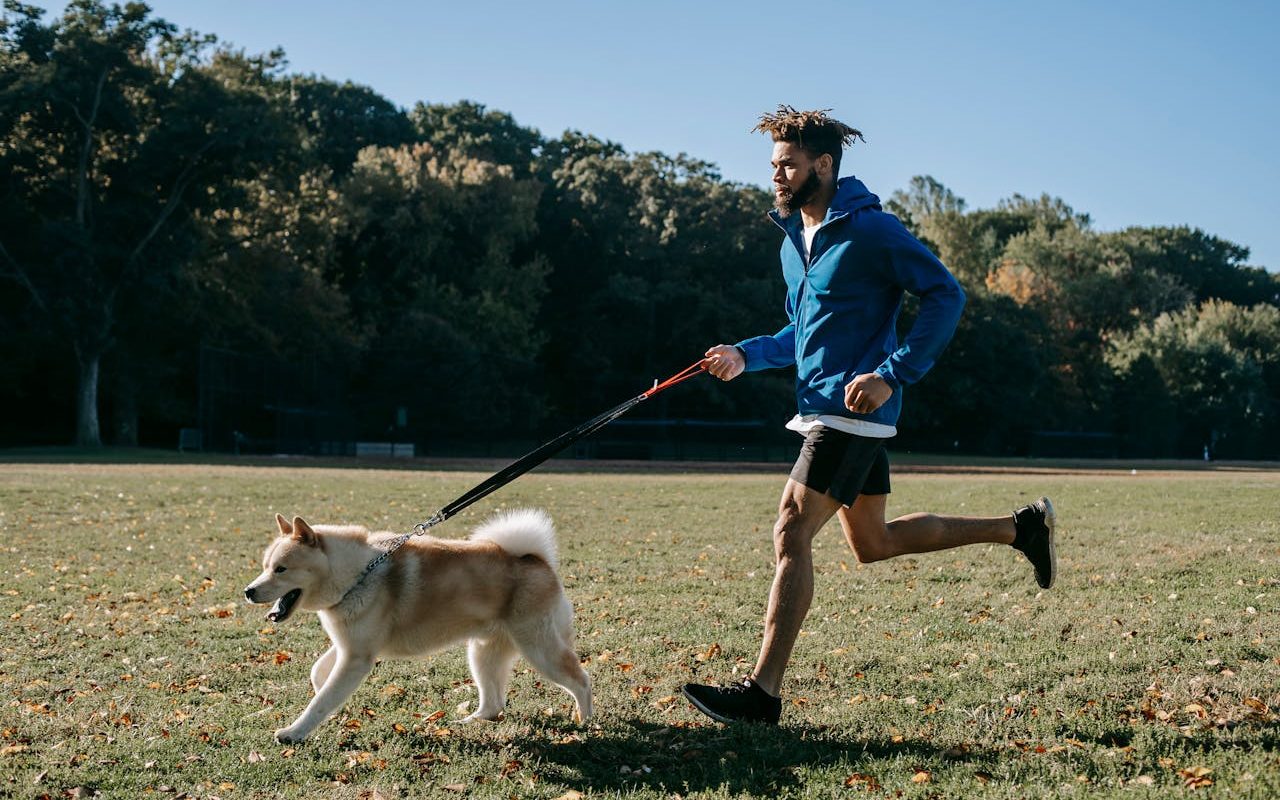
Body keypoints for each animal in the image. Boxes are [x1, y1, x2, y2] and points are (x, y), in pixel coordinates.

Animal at [241, 504, 591, 742]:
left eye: (281, 569)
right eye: (265, 566)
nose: (248, 591)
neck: (357, 573)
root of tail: (538, 560)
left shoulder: (357, 658)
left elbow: (320, 701)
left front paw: (294, 732)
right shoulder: (349, 647)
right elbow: (319, 676)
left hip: (539, 649)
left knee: (582, 681)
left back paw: (586, 723)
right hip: (484, 654)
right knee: (494, 704)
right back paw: (468, 723)